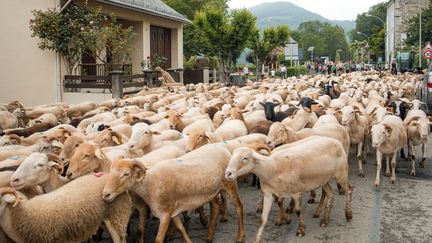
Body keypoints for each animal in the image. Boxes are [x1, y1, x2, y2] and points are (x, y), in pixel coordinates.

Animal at [100, 143, 243, 242]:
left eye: (126, 174)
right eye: (110, 171)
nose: (105, 195)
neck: (150, 184)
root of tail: (223, 149)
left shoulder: (164, 215)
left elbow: (158, 239)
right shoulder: (172, 211)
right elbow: (181, 229)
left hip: (230, 183)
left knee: (239, 206)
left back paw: (240, 236)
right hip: (210, 190)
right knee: (216, 206)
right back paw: (209, 235)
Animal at [224, 137, 352, 241]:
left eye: (245, 158)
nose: (228, 174)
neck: (271, 168)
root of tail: (336, 141)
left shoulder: (296, 192)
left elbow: (298, 211)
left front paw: (300, 230)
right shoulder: (268, 194)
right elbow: (263, 219)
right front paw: (257, 239)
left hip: (341, 173)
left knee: (349, 190)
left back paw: (348, 214)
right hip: (323, 179)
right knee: (330, 194)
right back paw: (325, 220)